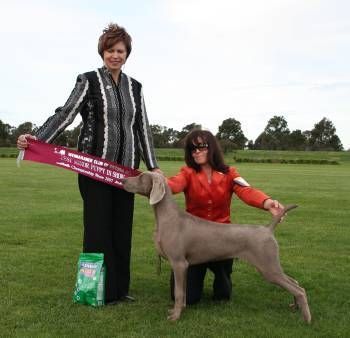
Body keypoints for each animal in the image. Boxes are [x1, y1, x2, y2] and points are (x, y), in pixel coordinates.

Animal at [122, 172, 312, 322]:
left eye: (141, 176)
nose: (123, 180)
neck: (168, 217)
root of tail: (268, 228)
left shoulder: (178, 263)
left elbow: (178, 292)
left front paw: (175, 317)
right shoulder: (184, 266)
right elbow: (184, 292)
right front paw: (181, 309)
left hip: (268, 266)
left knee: (299, 289)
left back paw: (306, 319)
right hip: (271, 265)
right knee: (295, 282)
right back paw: (295, 307)